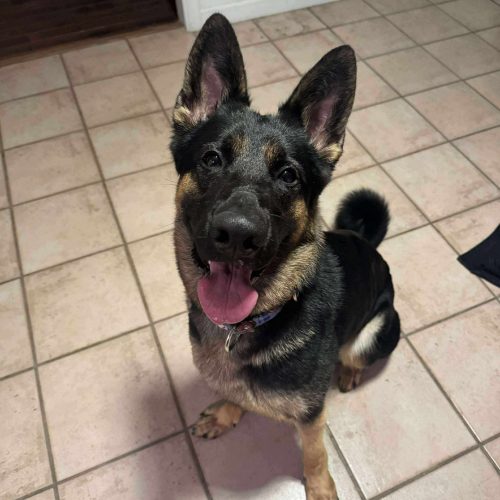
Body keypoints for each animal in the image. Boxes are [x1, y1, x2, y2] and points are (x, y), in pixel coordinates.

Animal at [170, 14, 400, 500]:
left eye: (289, 175)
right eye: (211, 158)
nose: (237, 235)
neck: (247, 325)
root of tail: (368, 245)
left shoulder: (312, 416)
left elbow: (314, 453)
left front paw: (320, 488)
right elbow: (234, 393)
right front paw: (227, 412)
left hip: (378, 330)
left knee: (356, 356)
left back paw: (348, 372)